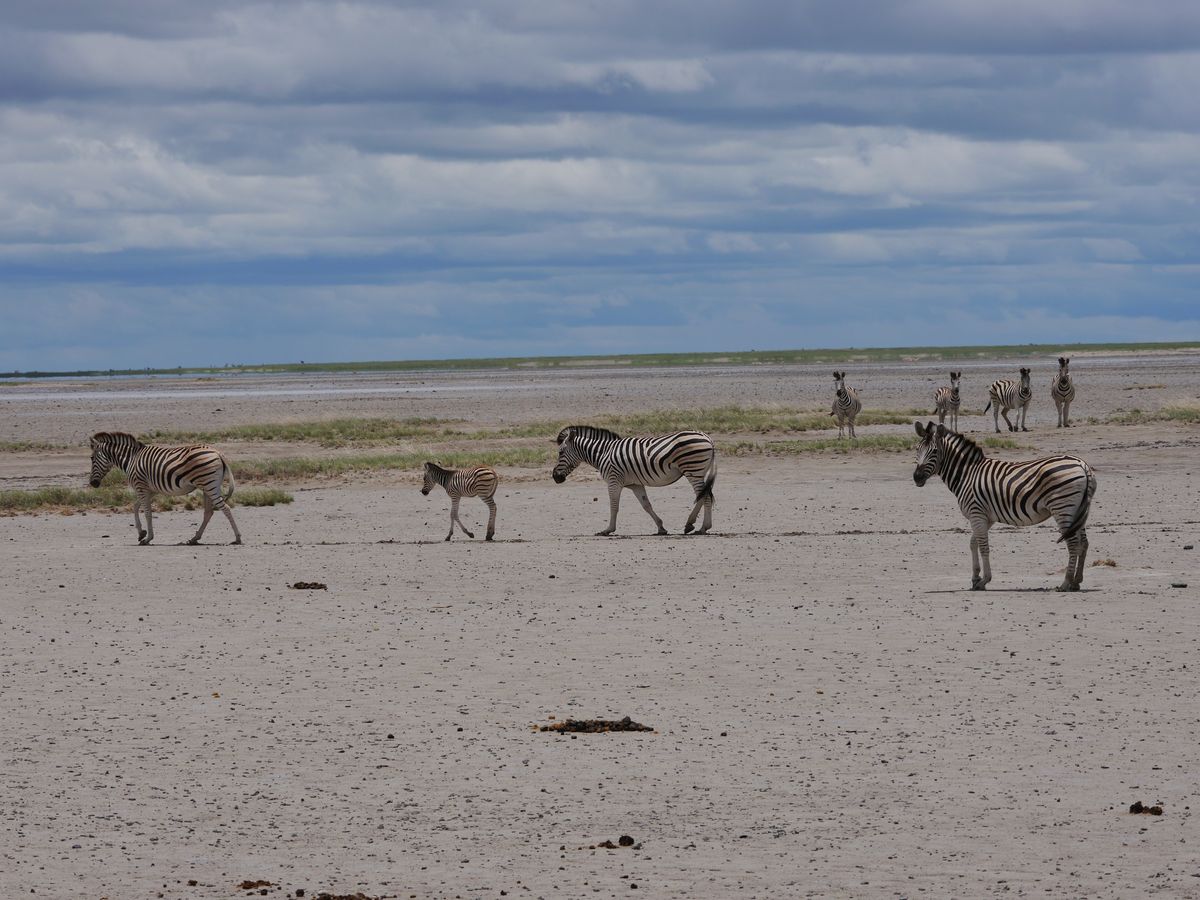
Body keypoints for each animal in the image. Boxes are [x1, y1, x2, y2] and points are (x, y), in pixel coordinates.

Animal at [88, 431, 242, 546]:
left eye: (91, 458)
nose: (92, 483)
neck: (131, 459)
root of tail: (217, 452)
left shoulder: (141, 487)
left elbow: (147, 512)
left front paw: (147, 538)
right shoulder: (150, 490)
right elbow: (136, 507)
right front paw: (141, 533)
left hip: (209, 485)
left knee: (225, 508)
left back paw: (237, 538)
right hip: (208, 486)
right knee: (209, 512)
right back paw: (194, 538)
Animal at [551, 425, 717, 536]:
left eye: (561, 452)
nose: (555, 477)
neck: (604, 453)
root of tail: (708, 438)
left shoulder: (613, 480)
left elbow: (614, 506)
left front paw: (608, 530)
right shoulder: (635, 484)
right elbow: (646, 505)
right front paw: (661, 528)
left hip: (692, 470)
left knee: (704, 496)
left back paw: (699, 527)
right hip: (697, 471)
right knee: (704, 494)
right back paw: (697, 526)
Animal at [912, 421, 1097, 591]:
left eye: (934, 452)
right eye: (917, 449)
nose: (916, 477)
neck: (967, 474)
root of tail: (1083, 465)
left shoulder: (976, 513)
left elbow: (983, 546)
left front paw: (984, 580)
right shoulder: (985, 517)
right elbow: (973, 543)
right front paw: (975, 578)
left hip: (1063, 508)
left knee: (1073, 543)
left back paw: (1066, 583)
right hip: (1077, 509)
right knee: (1083, 543)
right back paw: (1076, 582)